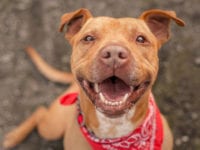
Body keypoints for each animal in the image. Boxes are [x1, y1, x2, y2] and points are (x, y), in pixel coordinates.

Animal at [3, 8, 184, 150]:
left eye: (141, 39)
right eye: (88, 38)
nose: (114, 54)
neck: (114, 128)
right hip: (52, 127)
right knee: (40, 111)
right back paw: (13, 137)